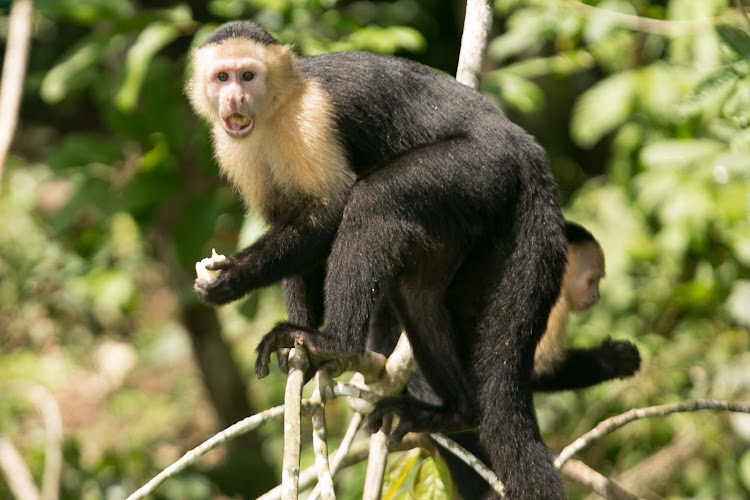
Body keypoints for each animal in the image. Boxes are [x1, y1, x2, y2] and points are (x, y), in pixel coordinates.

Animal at [189, 20, 568, 500]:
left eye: (248, 76)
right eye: (222, 77)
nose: (235, 98)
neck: (273, 110)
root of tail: (526, 146)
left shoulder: (308, 118)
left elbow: (325, 215)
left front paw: (235, 281)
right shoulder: (233, 145)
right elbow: (292, 225)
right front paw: (300, 354)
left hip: (478, 166)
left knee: (373, 202)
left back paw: (337, 340)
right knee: (419, 295)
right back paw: (458, 411)